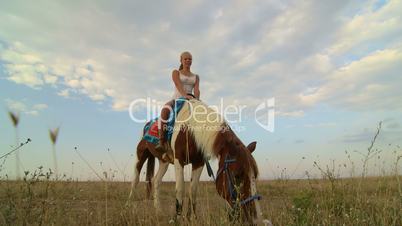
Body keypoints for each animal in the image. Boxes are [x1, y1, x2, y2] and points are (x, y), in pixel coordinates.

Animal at [129, 99, 266, 224]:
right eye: (237, 176)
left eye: (255, 176)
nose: (257, 220)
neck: (190, 130)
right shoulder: (179, 160)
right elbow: (180, 189)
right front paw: (177, 218)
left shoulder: (199, 163)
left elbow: (193, 190)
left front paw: (191, 218)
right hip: (141, 154)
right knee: (135, 179)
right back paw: (128, 205)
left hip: (164, 161)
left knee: (156, 180)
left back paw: (158, 210)